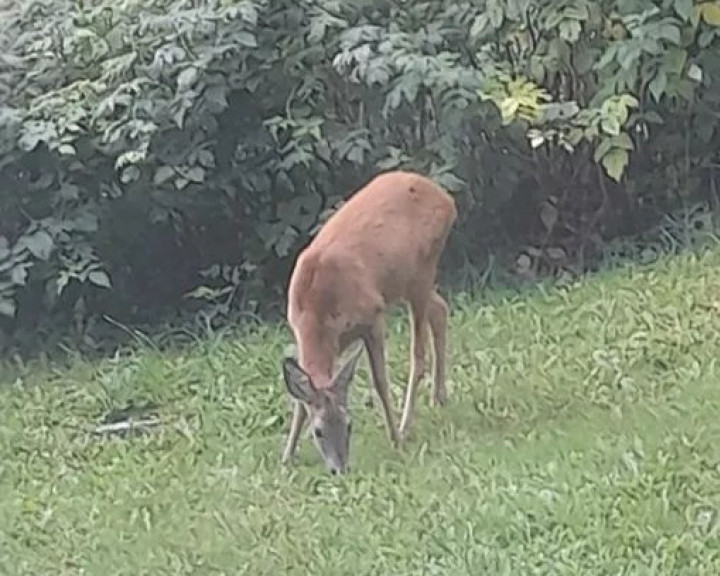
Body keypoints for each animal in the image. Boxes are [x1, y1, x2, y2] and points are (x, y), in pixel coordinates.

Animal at [280, 169, 456, 474]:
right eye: (317, 432)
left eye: (350, 425)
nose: (340, 469)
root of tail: (447, 199)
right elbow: (300, 401)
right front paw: (287, 456)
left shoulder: (373, 315)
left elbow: (380, 382)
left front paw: (394, 439)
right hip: (408, 282)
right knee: (440, 308)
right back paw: (439, 397)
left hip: (422, 269)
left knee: (418, 355)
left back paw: (406, 424)